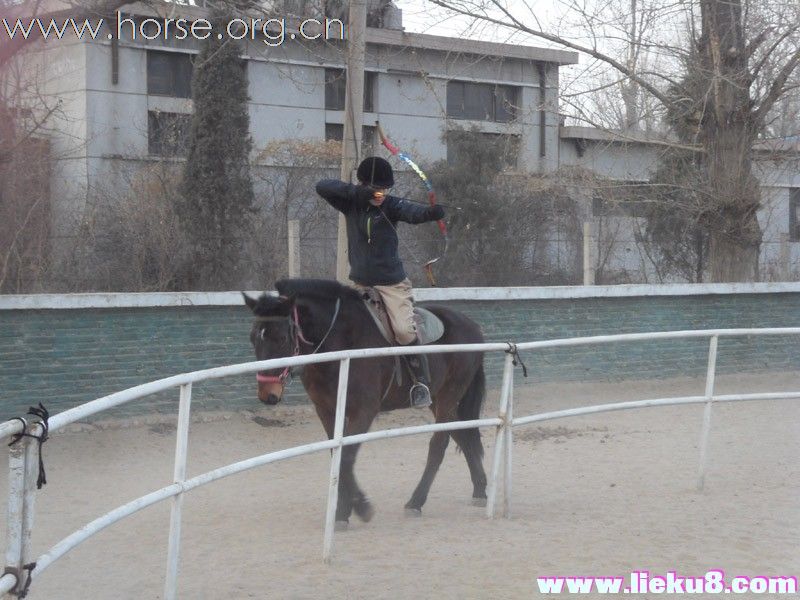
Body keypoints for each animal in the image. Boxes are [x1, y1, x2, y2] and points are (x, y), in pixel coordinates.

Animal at [242, 278, 488, 524]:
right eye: (253, 338)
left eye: (282, 338)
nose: (267, 395)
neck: (341, 342)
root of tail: (472, 325)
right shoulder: (327, 410)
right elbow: (338, 454)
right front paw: (348, 509)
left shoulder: (364, 411)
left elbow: (347, 457)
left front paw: (356, 509)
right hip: (438, 400)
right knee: (462, 434)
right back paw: (480, 490)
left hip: (449, 395)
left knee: (439, 445)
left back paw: (416, 501)